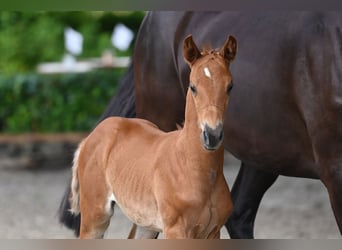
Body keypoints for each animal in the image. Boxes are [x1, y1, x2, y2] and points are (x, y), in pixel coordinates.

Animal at [68, 34, 236, 239]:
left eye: (230, 86)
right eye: (193, 86)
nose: (212, 135)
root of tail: (90, 137)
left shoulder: (212, 232)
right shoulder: (176, 230)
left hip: (146, 225)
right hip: (95, 216)